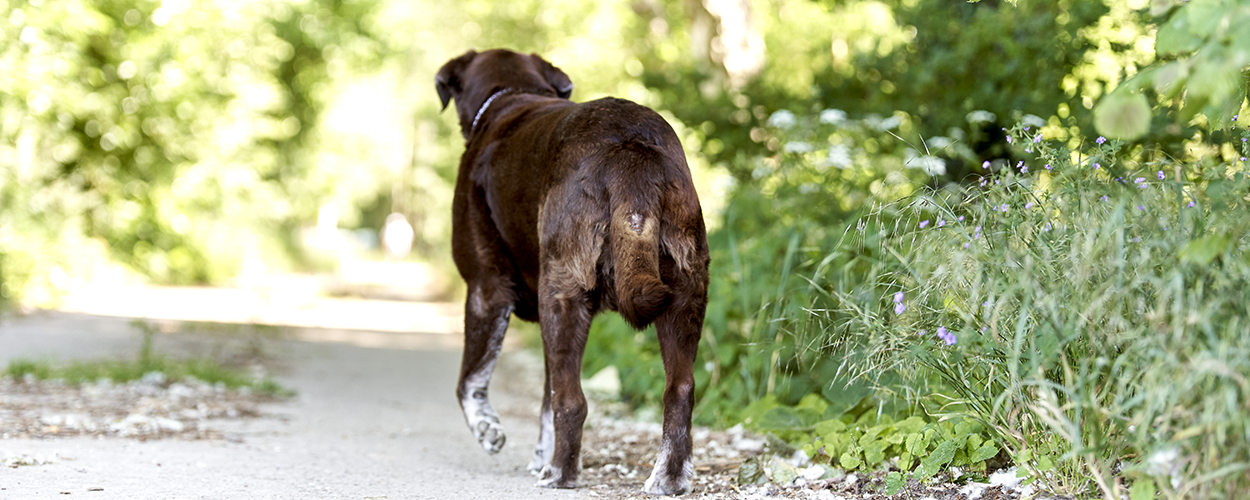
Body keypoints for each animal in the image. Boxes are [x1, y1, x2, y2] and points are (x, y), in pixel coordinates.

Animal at [435, 48, 710, 495]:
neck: (510, 96)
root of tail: (629, 147)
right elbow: (544, 399)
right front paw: (538, 454)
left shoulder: (484, 289)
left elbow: (471, 379)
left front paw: (488, 430)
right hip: (685, 293)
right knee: (680, 389)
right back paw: (668, 478)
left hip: (561, 294)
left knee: (573, 400)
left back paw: (561, 473)